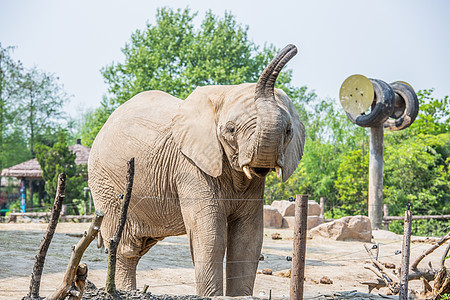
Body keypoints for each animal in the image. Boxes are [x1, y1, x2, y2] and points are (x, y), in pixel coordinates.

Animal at [88, 43, 306, 296]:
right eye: (230, 129)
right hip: (106, 185)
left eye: (289, 131)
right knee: (124, 247)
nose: (292, 48)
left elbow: (248, 239)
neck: (223, 92)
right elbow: (211, 237)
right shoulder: (190, 166)